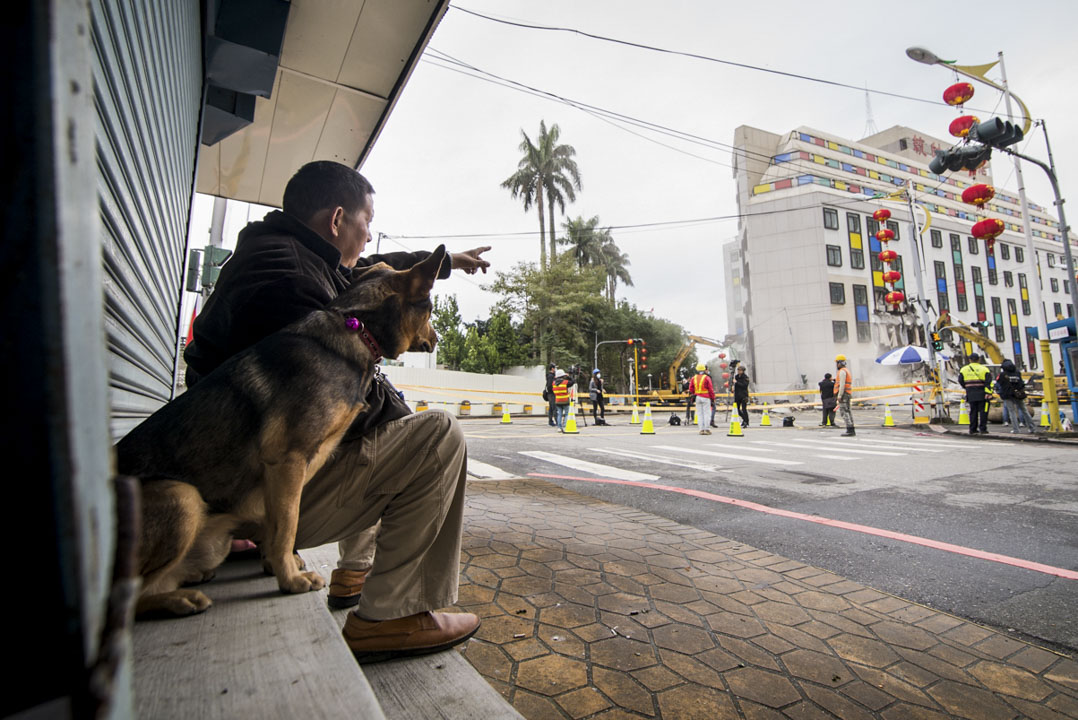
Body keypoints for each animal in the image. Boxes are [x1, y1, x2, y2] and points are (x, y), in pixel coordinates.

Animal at [112, 245, 441, 612]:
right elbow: (287, 525)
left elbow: (275, 525)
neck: (357, 326)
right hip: (182, 497)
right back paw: (179, 599)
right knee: (127, 596)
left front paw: (277, 565)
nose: (437, 338)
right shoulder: (288, 460)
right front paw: (290, 578)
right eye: (429, 312)